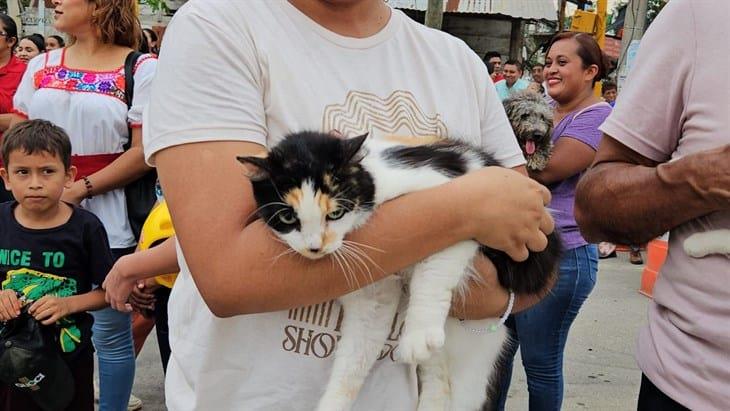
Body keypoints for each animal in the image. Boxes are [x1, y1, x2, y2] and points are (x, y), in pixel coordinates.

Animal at [236, 133, 560, 411]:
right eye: (288, 217)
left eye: (335, 213)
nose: (315, 248)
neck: (376, 186)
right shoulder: (373, 297)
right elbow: (354, 359)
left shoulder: (463, 211)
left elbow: (431, 272)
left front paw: (417, 333)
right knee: (438, 383)